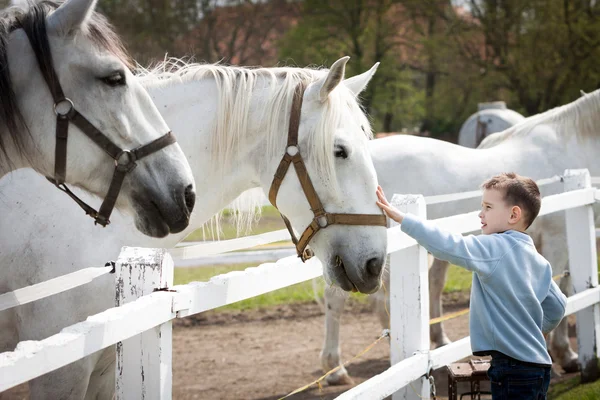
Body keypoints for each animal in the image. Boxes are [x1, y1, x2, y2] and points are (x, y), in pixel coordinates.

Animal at [318, 91, 600, 384]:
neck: (572, 143)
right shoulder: (559, 238)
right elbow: (562, 288)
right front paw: (566, 355)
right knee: (339, 300)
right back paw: (336, 370)